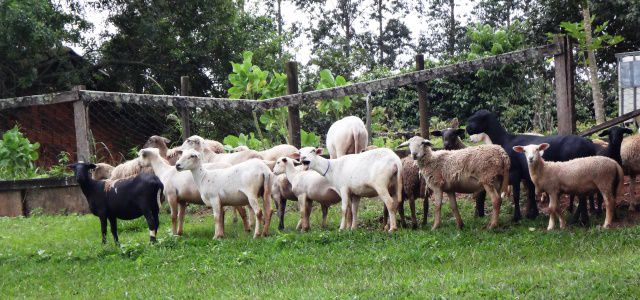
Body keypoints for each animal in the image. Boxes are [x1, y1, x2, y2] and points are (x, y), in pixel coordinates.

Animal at [464, 109, 596, 220]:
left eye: (476, 119)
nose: (467, 129)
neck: (505, 140)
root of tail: (589, 143)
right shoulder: (527, 176)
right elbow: (531, 195)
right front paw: (533, 215)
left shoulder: (515, 172)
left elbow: (517, 195)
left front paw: (517, 217)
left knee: (582, 195)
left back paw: (579, 219)